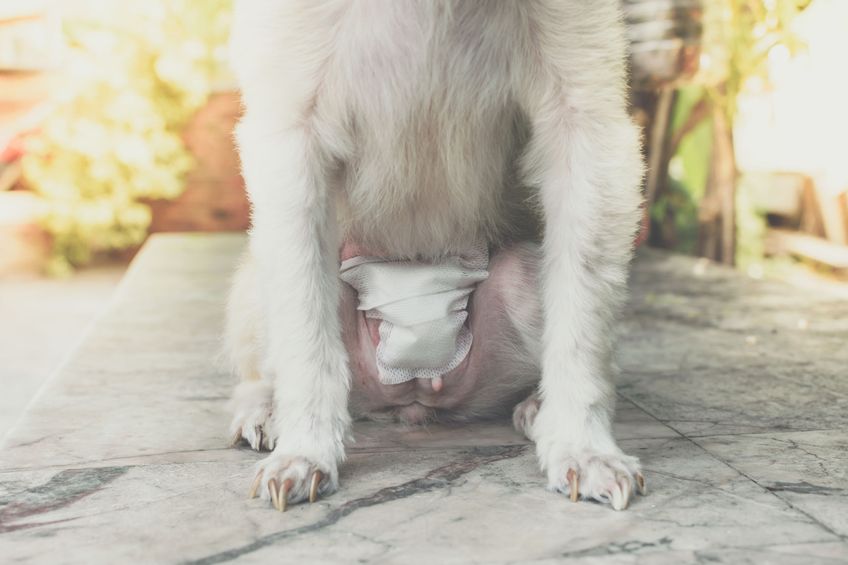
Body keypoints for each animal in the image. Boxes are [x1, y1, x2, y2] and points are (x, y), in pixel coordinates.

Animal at [225, 0, 644, 512]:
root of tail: (414, 393)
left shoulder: (585, 121)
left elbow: (583, 322)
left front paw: (583, 445)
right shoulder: (290, 130)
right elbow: (304, 332)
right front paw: (305, 448)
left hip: (519, 290)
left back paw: (537, 405)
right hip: (262, 290)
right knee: (268, 350)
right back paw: (264, 409)